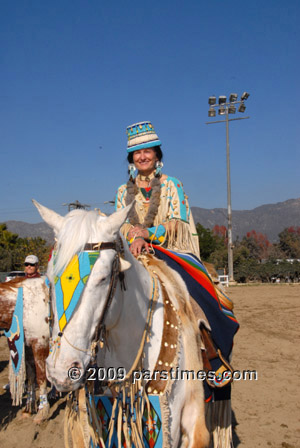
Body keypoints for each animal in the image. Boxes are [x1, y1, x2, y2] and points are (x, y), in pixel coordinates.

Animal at [0, 276, 50, 424]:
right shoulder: (27, 348)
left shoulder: (40, 345)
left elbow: (41, 377)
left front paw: (42, 412)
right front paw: (28, 409)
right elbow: (31, 377)